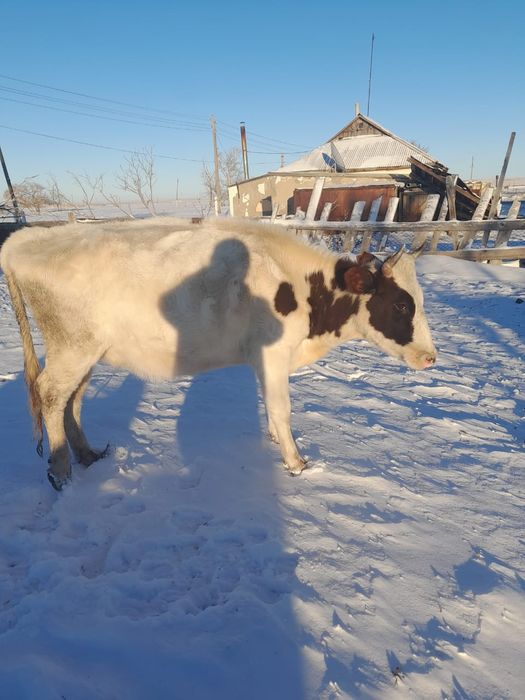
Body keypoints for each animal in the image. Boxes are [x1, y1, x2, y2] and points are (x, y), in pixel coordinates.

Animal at [0, 217, 436, 490]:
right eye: (401, 304)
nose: (431, 357)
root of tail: (23, 242)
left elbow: (269, 404)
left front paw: (275, 442)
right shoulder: (274, 351)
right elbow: (281, 407)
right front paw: (296, 463)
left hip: (84, 352)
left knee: (72, 400)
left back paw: (87, 455)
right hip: (73, 348)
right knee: (51, 394)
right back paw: (60, 472)